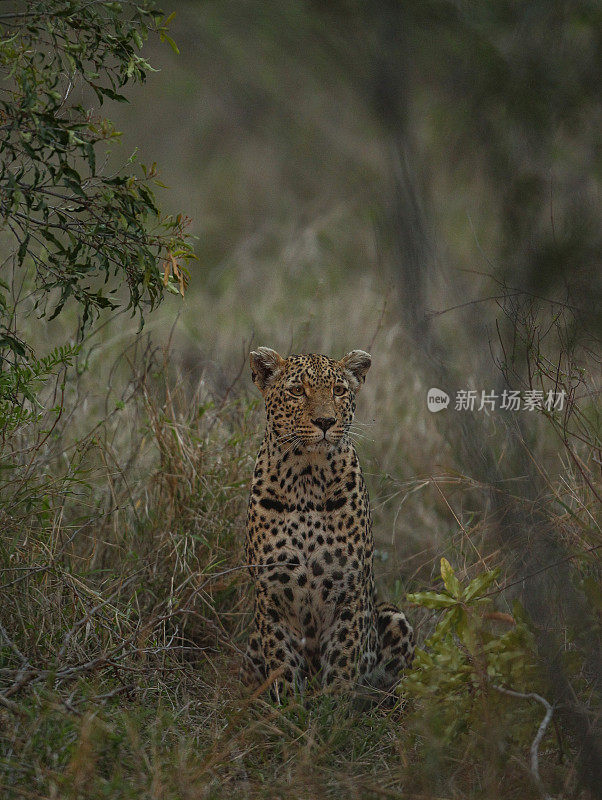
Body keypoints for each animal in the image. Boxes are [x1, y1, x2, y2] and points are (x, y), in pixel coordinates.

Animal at [239, 346, 412, 696]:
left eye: (339, 391)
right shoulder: (271, 595)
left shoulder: (349, 593)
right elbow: (281, 663)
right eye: (296, 391)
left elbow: (343, 661)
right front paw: (287, 705)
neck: (306, 476)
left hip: (394, 617)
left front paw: (335, 706)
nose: (324, 421)